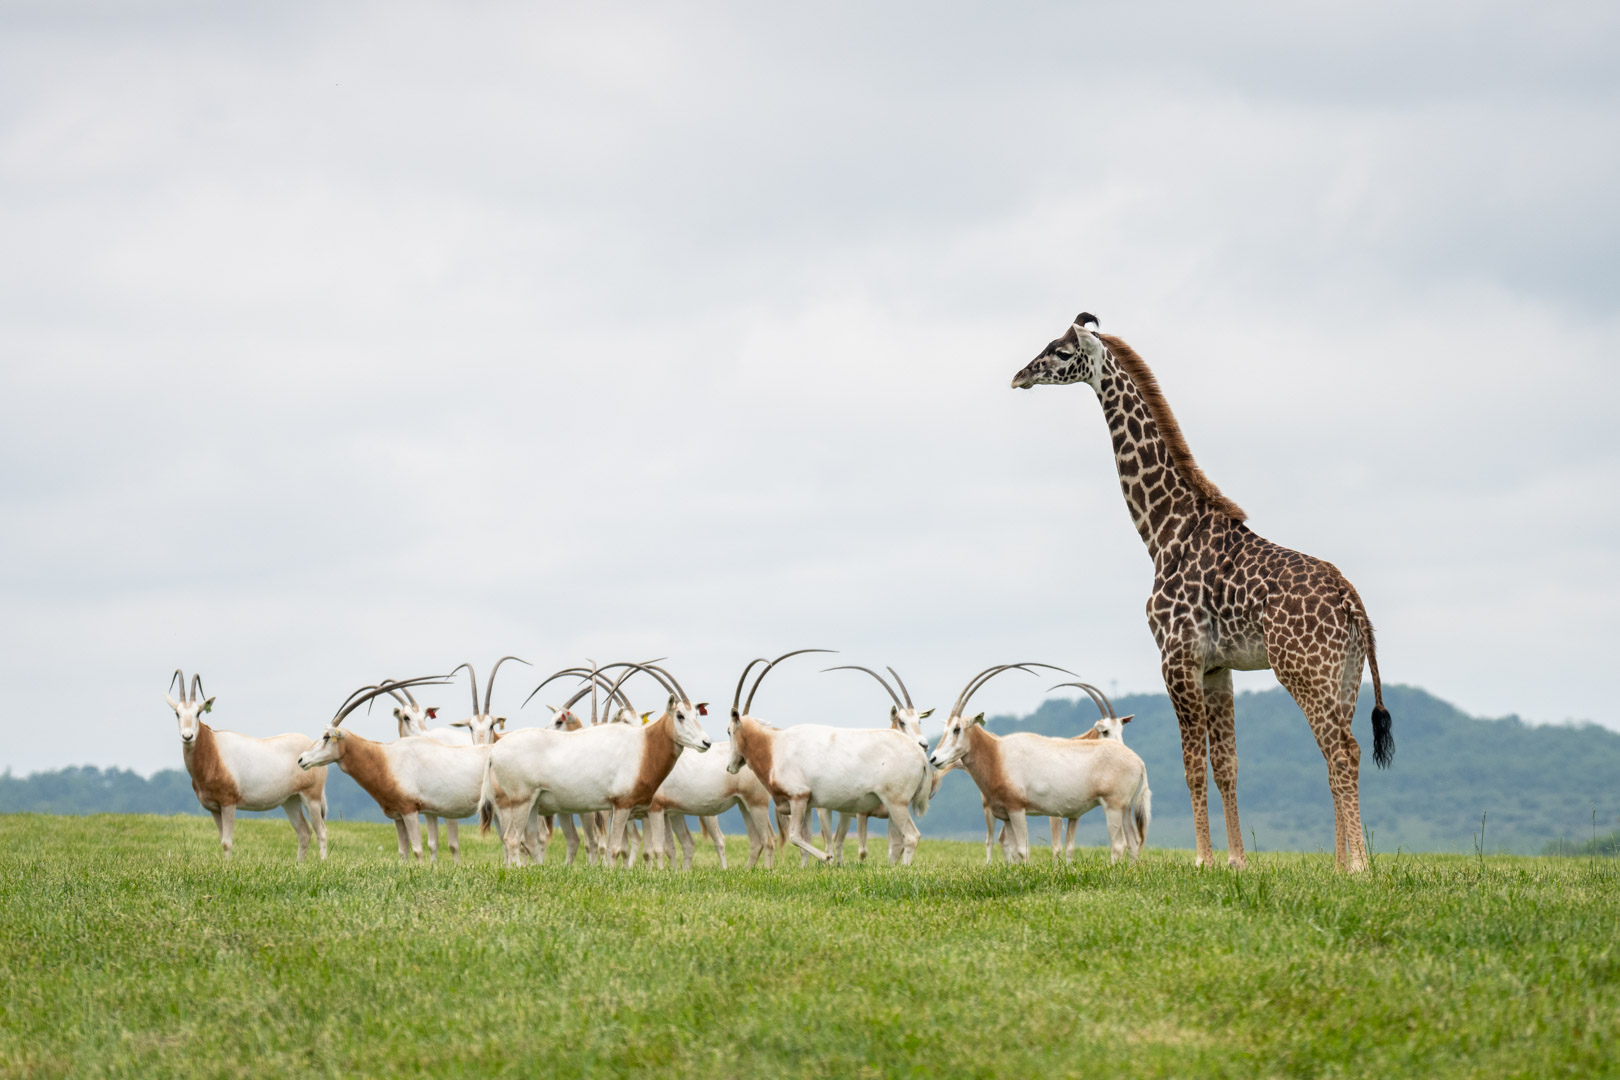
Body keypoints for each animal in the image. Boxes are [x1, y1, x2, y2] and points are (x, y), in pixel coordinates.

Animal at [997, 312, 1393, 867]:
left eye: (1060, 351)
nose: (1019, 376)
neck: (1165, 531)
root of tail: (1350, 599)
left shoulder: (1176, 656)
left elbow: (1191, 764)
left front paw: (1204, 859)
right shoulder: (1216, 666)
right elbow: (1226, 764)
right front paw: (1236, 861)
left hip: (1304, 668)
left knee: (1341, 750)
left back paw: (1357, 865)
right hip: (1345, 675)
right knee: (1340, 749)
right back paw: (1340, 865)